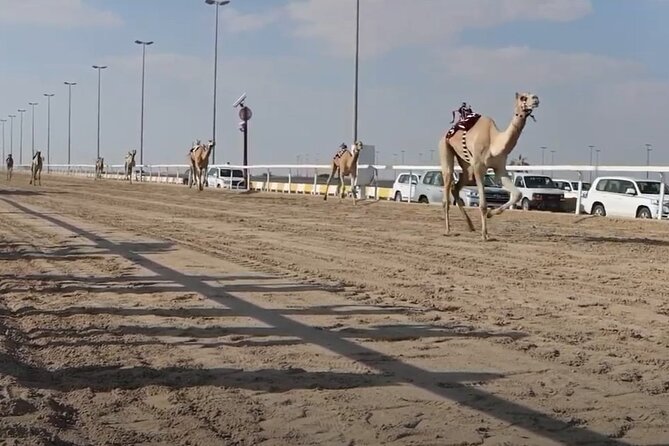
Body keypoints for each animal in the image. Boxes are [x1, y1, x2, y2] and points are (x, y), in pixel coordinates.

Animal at [439, 92, 540, 240]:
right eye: (523, 97)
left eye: (533, 95)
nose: (536, 99)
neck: (494, 142)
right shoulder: (479, 167)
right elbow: (483, 204)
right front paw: (485, 234)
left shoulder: (500, 168)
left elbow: (517, 194)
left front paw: (490, 214)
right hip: (445, 149)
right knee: (447, 186)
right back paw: (447, 230)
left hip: (467, 166)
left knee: (456, 187)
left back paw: (470, 226)